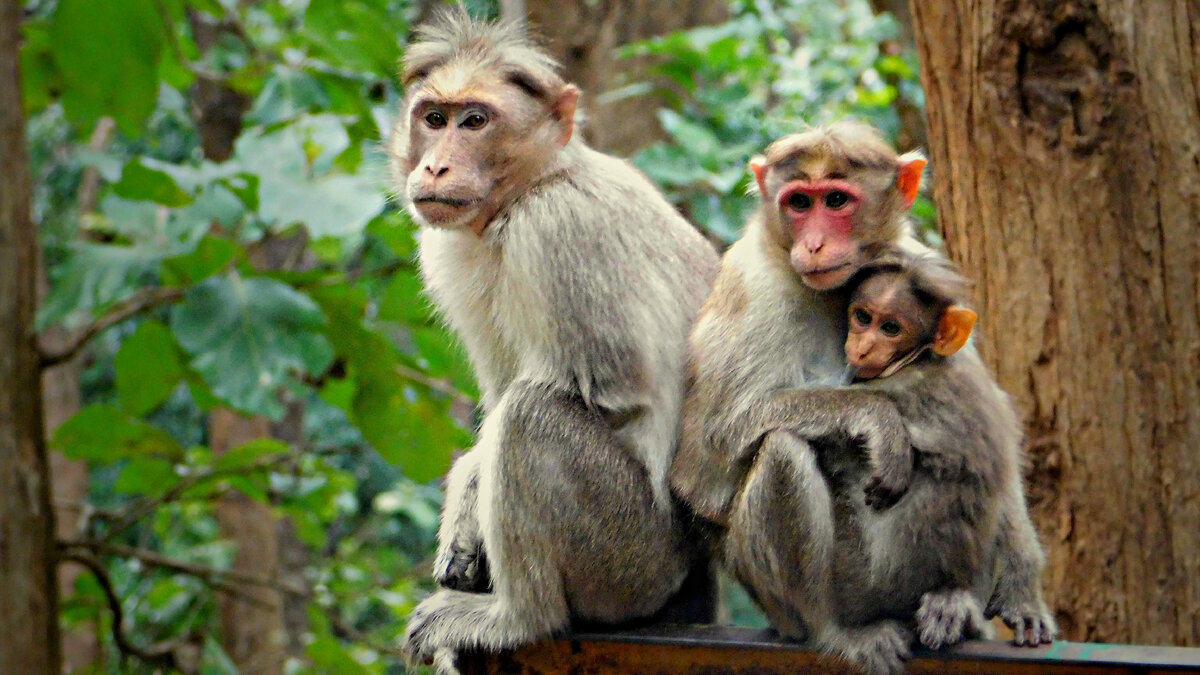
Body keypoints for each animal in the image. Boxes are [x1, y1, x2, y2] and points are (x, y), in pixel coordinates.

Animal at [387, 11, 720, 672]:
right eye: (434, 118)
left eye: (475, 121)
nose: (434, 167)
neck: (529, 188)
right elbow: (497, 393)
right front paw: (467, 499)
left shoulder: (557, 229)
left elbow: (606, 388)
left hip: (630, 561)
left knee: (531, 414)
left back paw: (519, 617)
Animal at [670, 122, 1055, 675]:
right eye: (798, 202)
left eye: (836, 200)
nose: (812, 245)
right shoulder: (754, 289)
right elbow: (712, 446)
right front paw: (880, 420)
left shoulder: (913, 256)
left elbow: (987, 430)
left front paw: (1024, 586)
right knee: (783, 449)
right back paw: (834, 630)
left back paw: (953, 602)